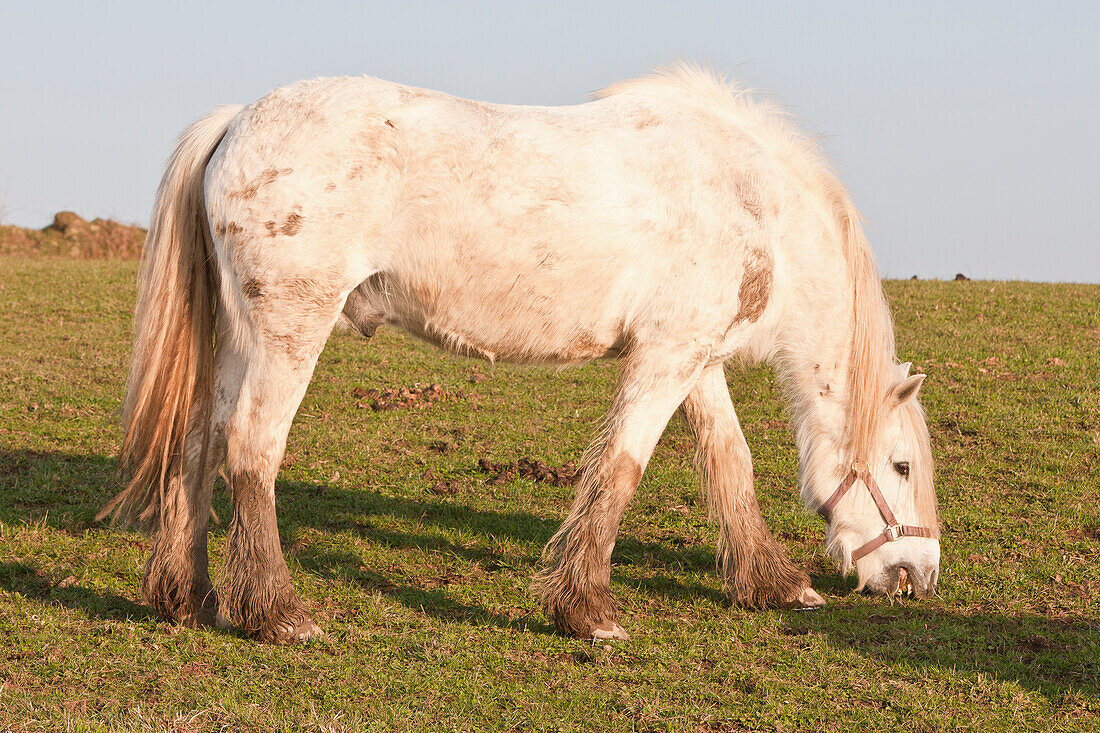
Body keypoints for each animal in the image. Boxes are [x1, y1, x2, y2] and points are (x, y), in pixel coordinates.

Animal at [107, 65, 941, 642]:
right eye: (901, 466)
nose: (918, 576)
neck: (748, 199)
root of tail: (235, 123)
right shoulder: (667, 358)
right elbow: (622, 469)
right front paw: (587, 610)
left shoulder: (691, 358)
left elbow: (729, 463)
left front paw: (770, 582)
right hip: (288, 333)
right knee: (251, 447)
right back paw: (277, 613)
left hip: (239, 341)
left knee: (199, 440)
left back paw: (189, 597)